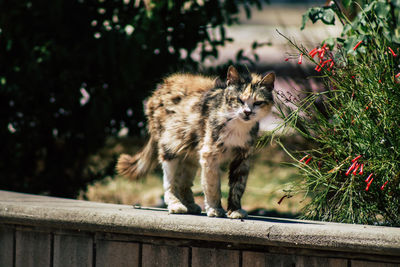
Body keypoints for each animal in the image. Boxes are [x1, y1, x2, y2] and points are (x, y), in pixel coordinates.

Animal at [115, 65, 276, 220]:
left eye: (258, 102)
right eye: (239, 100)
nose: (247, 112)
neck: (238, 126)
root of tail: (162, 86)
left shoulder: (243, 157)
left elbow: (238, 187)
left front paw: (235, 210)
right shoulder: (209, 155)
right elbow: (212, 186)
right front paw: (215, 209)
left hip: (190, 154)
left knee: (183, 182)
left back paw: (190, 205)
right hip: (170, 146)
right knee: (170, 183)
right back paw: (176, 205)